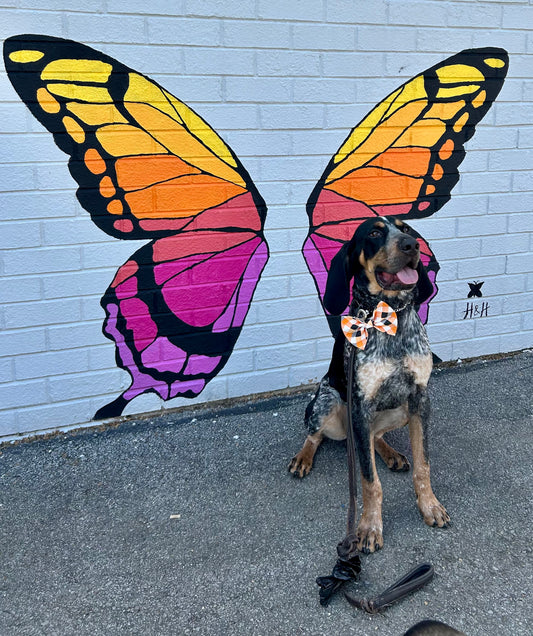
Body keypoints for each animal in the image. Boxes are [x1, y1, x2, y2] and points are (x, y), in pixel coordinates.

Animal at [288, 216, 446, 556]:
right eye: (373, 233)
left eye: (407, 229)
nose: (411, 245)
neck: (390, 315)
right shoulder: (359, 404)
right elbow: (369, 481)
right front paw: (369, 527)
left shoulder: (420, 399)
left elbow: (423, 465)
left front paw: (429, 506)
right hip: (327, 401)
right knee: (317, 435)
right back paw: (303, 458)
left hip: (397, 410)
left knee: (373, 437)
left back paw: (391, 454)